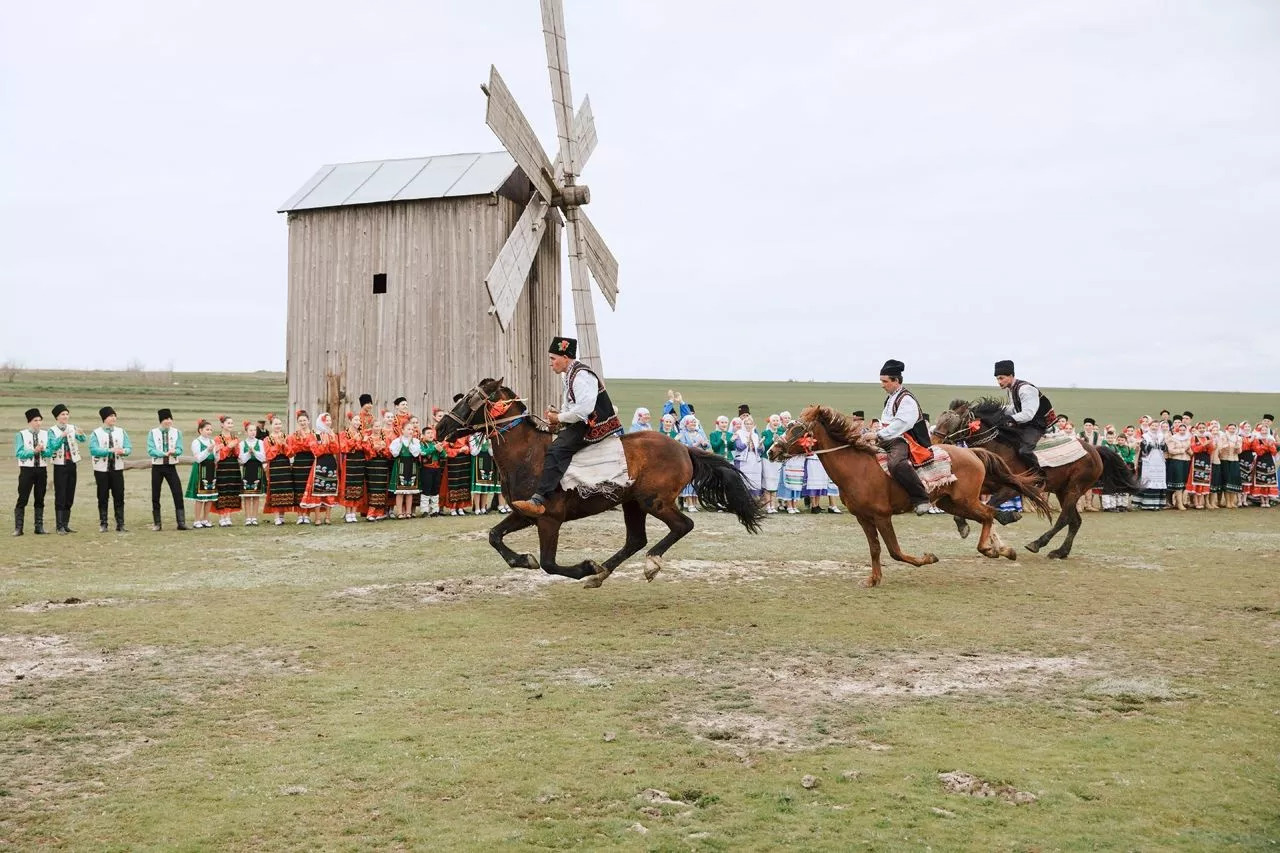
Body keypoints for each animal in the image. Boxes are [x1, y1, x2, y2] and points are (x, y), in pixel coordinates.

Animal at [435, 376, 762, 584]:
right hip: (633, 504)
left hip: (654, 502)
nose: (440, 428)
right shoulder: (524, 513)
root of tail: (683, 448)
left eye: (469, 399)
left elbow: (548, 563)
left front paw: (585, 567)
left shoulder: (548, 519)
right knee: (636, 539)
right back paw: (603, 573)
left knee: (682, 526)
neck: (528, 456)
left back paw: (646, 564)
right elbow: (494, 536)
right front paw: (524, 560)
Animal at [768, 404, 1049, 584]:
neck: (856, 466)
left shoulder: (882, 516)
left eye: (798, 429)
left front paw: (928, 558)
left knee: (988, 515)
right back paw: (1004, 548)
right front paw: (873, 579)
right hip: (952, 503)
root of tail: (972, 452)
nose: (772, 451)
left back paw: (993, 549)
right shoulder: (863, 517)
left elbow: (894, 551)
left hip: (965, 500)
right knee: (986, 515)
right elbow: (875, 549)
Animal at [931, 397, 1141, 558]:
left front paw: (1008, 517)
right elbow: (972, 504)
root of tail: (1094, 449)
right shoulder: (981, 485)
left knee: (1064, 518)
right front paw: (963, 524)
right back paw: (1060, 552)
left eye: (952, 421)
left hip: (1074, 489)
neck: (1000, 447)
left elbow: (991, 504)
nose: (934, 441)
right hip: (1062, 490)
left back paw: (1037, 543)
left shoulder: (1011, 488)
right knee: (1075, 521)